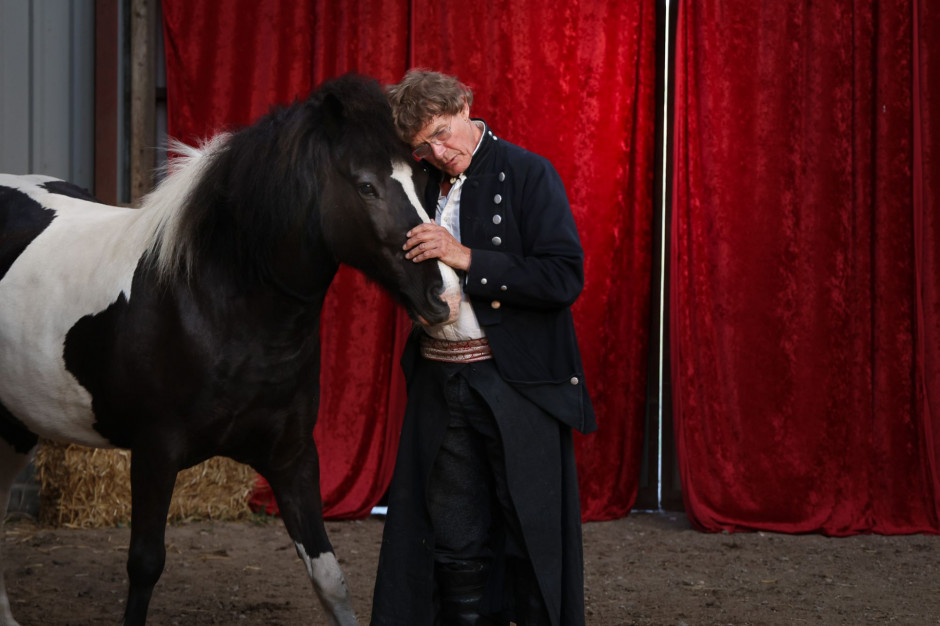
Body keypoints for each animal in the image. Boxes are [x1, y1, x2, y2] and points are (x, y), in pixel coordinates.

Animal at [0, 74, 462, 624]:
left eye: (424, 181)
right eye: (367, 186)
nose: (443, 296)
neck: (213, 304)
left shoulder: (294, 459)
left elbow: (330, 577)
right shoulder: (154, 454)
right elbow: (144, 565)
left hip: (14, 426)